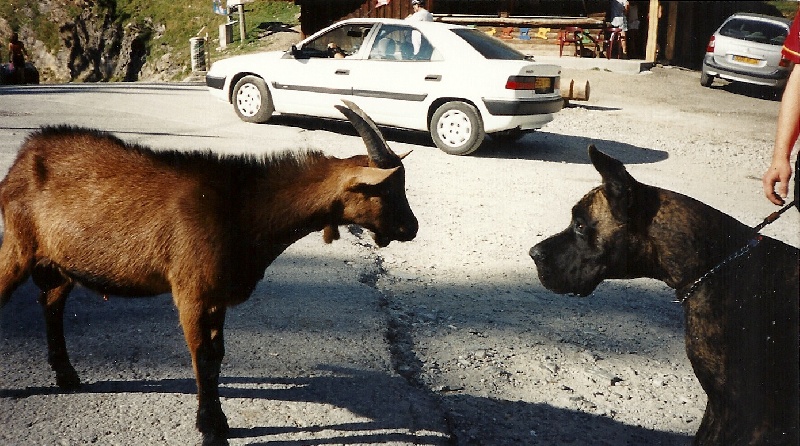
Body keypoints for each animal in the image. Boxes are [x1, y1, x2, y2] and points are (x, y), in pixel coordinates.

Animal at [0, 102, 418, 446]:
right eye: (385, 191)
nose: (412, 228)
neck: (241, 209)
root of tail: (24, 155)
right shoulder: (193, 292)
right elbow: (202, 355)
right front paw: (211, 426)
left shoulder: (218, 297)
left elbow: (217, 356)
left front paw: (216, 419)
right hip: (19, 246)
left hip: (60, 263)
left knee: (51, 303)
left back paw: (66, 375)